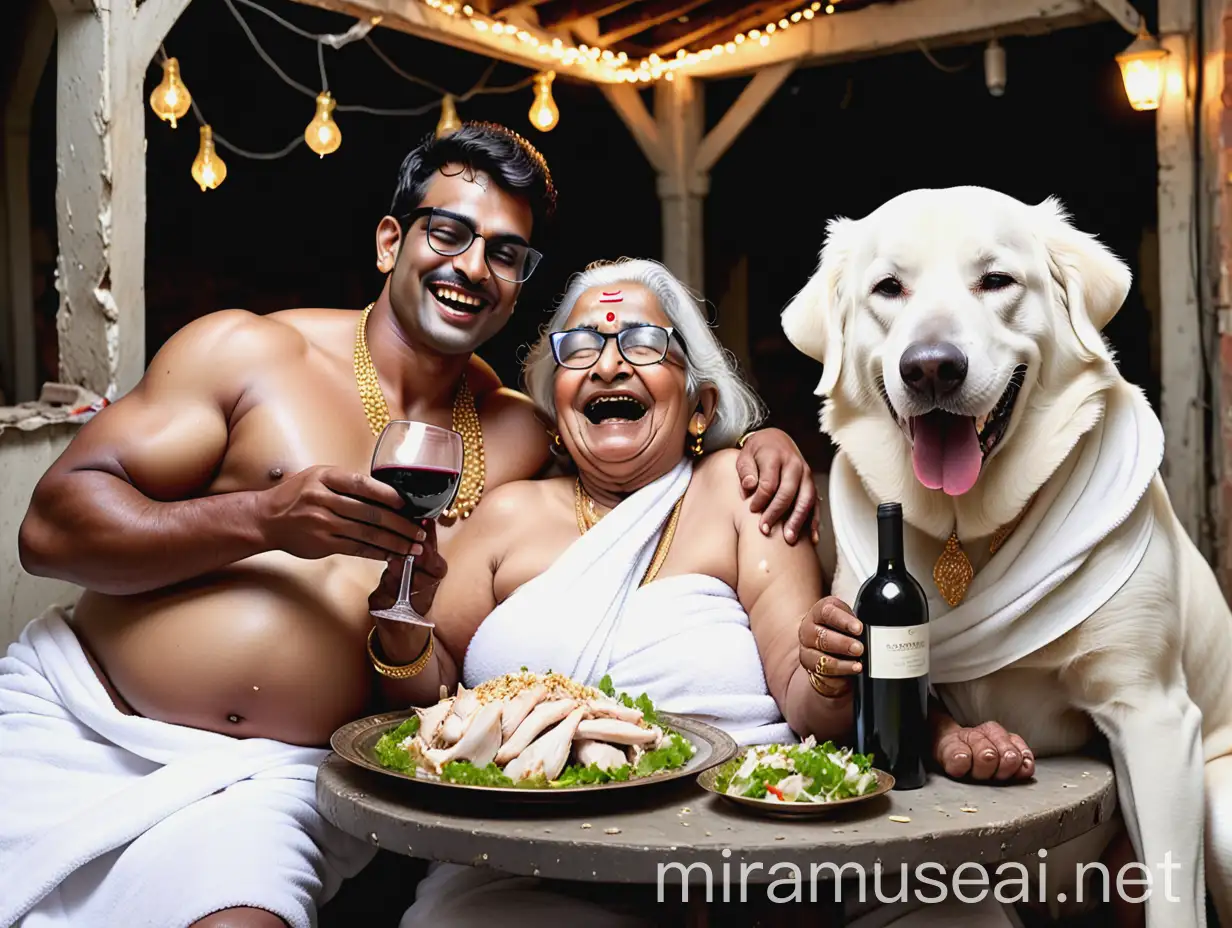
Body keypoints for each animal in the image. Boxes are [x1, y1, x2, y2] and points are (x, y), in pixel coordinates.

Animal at [783, 188, 1227, 926]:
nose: (931, 366)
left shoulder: (1154, 715)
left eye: (995, 281)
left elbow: (1173, 899)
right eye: (889, 288)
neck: (966, 531)